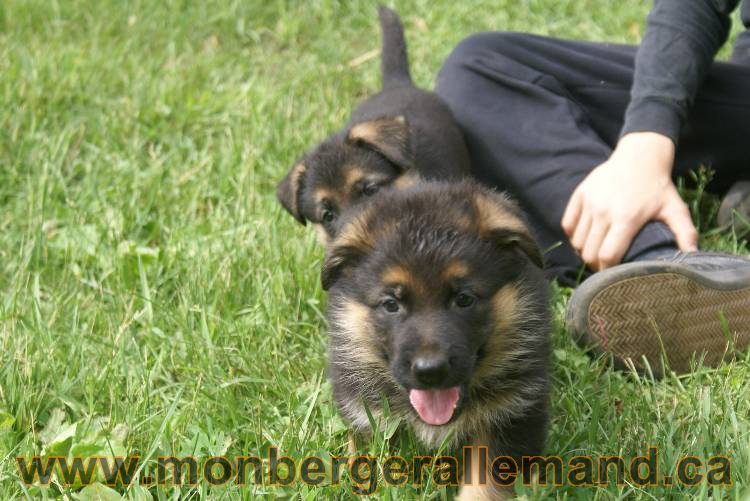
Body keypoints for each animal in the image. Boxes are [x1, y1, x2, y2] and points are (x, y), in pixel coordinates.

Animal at [324, 181, 552, 500]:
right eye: (391, 304)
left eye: (464, 299)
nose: (430, 371)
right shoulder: (367, 414)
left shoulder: (511, 413)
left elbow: (486, 482)